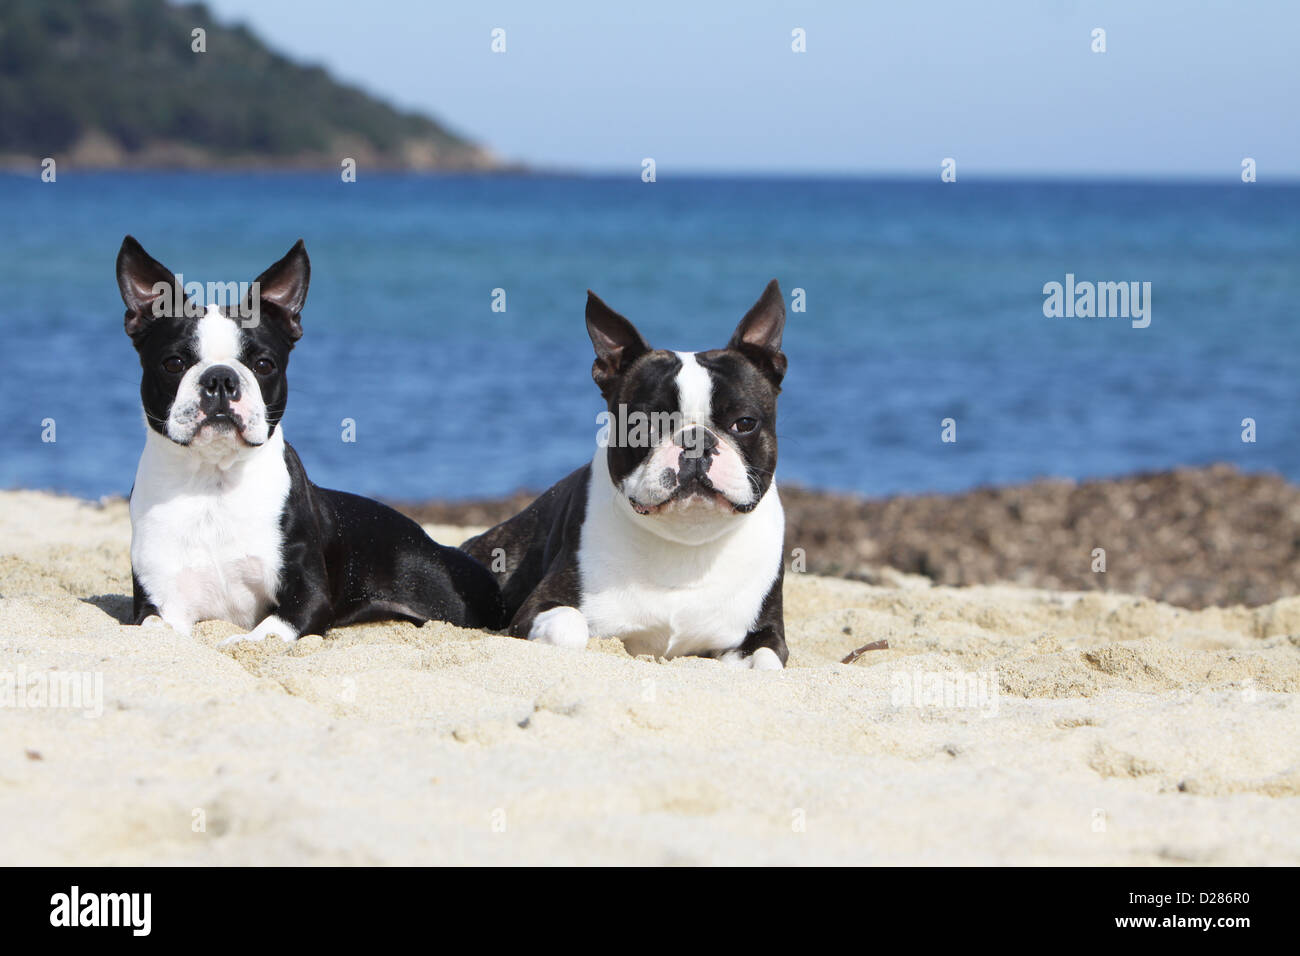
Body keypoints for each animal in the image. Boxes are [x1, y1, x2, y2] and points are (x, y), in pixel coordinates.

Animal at [118, 235, 501, 647]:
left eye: (264, 365)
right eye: (173, 363)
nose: (220, 378)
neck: (213, 481)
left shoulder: (309, 596)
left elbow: (267, 631)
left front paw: (240, 642)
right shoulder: (160, 600)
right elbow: (155, 630)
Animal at [462, 280, 785, 671]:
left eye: (745, 423)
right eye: (641, 425)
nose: (696, 441)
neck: (686, 544)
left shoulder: (766, 633)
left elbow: (766, 663)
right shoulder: (537, 609)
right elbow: (569, 628)